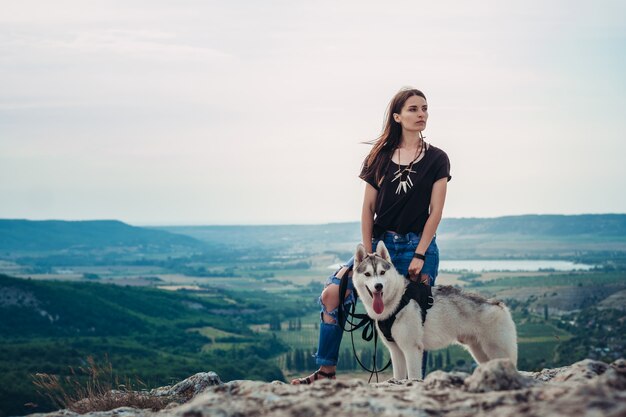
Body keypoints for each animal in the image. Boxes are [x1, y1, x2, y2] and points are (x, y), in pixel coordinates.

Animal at [352, 240, 516, 380]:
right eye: (367, 274)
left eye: (382, 272)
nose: (378, 286)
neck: (397, 299)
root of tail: (499, 305)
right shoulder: (396, 351)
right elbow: (398, 377)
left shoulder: (412, 349)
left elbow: (413, 376)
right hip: (480, 353)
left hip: (496, 352)